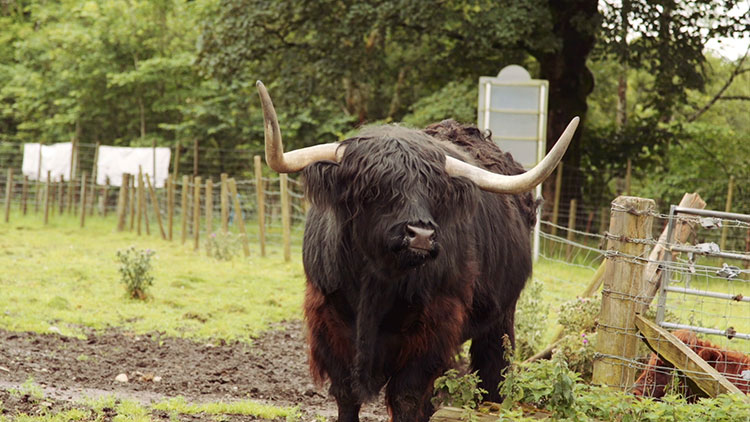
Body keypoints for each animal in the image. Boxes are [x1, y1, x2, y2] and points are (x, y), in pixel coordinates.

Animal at [255, 81, 579, 422]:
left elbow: (407, 397)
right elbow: (347, 394)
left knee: (493, 372)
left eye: (434, 191)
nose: (421, 235)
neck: (376, 280)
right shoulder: (329, 320)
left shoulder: (433, 326)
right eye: (373, 187)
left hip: (501, 316)